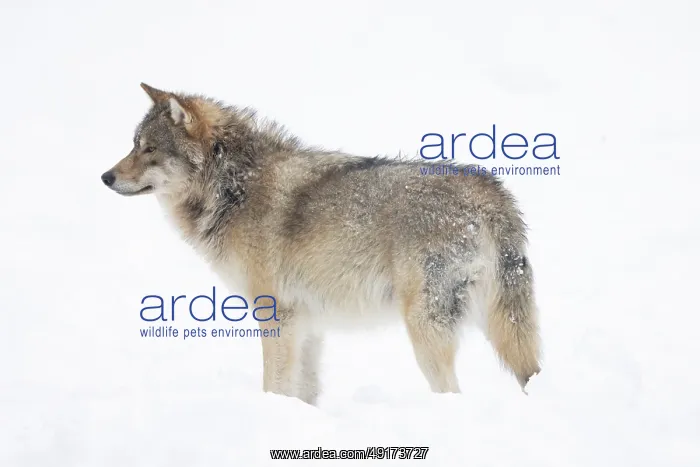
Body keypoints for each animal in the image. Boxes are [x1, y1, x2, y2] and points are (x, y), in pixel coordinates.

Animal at [102, 84, 542, 405]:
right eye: (134, 144)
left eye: (148, 149)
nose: (105, 177)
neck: (231, 187)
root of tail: (491, 193)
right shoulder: (306, 323)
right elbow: (304, 391)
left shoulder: (276, 316)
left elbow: (274, 385)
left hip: (425, 331)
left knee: (452, 391)